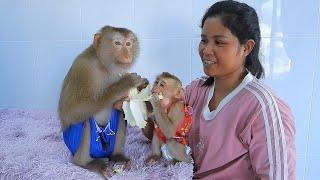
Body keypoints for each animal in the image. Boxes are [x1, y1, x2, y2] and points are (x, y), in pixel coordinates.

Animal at [58, 24, 146, 175]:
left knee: (120, 115)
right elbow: (71, 111)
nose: (127, 54)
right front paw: (124, 84)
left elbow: (120, 107)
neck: (104, 66)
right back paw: (86, 163)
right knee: (84, 120)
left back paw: (117, 156)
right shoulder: (82, 69)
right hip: (78, 144)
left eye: (128, 44)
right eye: (117, 43)